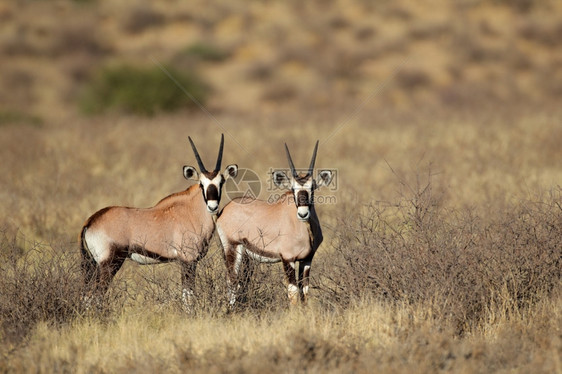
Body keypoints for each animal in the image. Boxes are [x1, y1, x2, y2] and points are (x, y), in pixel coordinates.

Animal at [79, 134, 236, 310]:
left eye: (221, 183)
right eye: (202, 184)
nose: (212, 206)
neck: (190, 211)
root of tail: (91, 221)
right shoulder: (187, 261)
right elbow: (188, 297)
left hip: (93, 265)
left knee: (86, 297)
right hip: (109, 264)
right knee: (95, 296)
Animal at [214, 140, 330, 306]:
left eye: (312, 188)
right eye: (293, 188)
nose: (303, 214)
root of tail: (225, 209)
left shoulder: (307, 259)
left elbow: (305, 292)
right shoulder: (287, 259)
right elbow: (293, 292)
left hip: (246, 256)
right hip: (232, 248)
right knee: (232, 281)